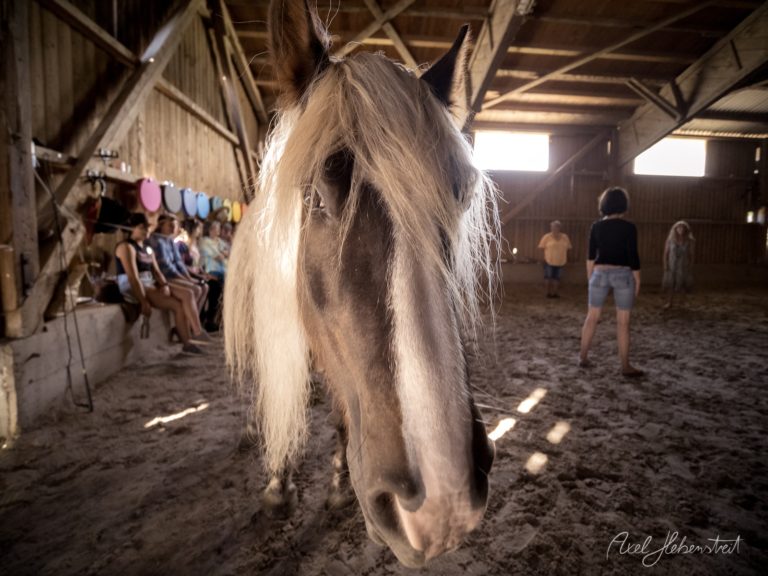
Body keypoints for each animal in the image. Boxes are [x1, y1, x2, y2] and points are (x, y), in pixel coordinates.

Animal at [223, 0, 500, 567]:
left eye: (460, 196)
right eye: (315, 197)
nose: (444, 501)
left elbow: (340, 412)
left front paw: (335, 486)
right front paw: (278, 485)